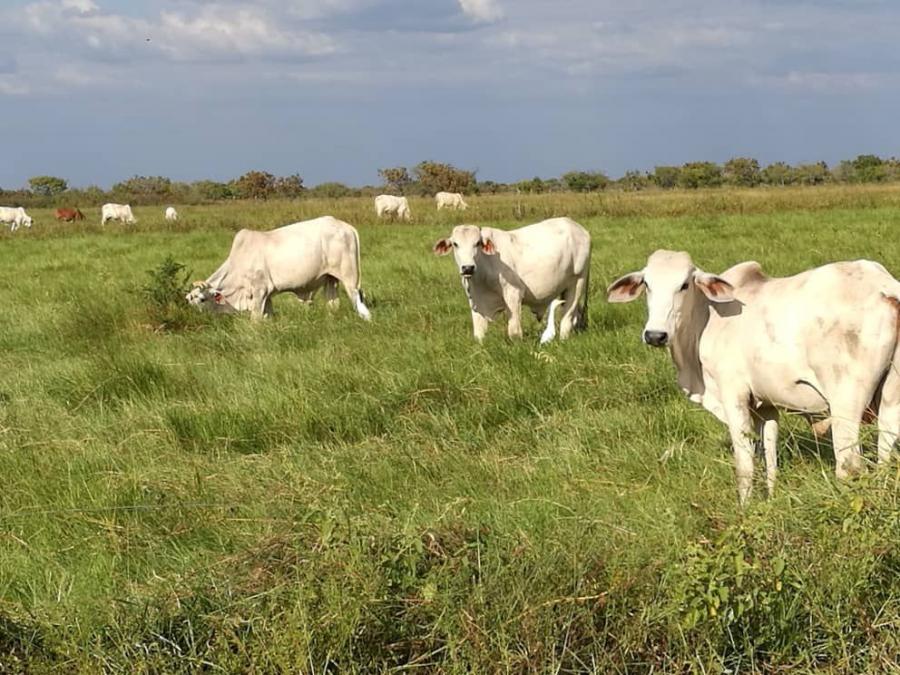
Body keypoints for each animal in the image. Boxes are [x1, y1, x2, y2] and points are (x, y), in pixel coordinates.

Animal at [185, 217, 370, 322]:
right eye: (189, 300)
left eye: (202, 299)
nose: (196, 318)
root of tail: (346, 227)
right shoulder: (267, 295)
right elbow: (268, 316)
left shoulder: (259, 291)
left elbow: (256, 319)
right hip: (330, 279)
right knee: (333, 304)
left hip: (350, 277)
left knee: (358, 302)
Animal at [434, 218, 592, 344]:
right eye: (455, 244)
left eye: (477, 243)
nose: (468, 268)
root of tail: (579, 228)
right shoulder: (475, 300)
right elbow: (479, 333)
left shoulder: (513, 293)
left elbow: (514, 331)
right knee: (575, 315)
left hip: (578, 281)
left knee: (567, 318)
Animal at [608, 251, 900, 504]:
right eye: (647, 284)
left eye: (684, 285)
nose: (655, 335)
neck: (706, 319)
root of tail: (885, 288)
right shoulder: (766, 405)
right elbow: (769, 458)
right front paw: (769, 500)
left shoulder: (733, 393)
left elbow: (745, 464)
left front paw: (745, 510)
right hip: (890, 400)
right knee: (885, 455)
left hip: (845, 403)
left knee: (849, 465)